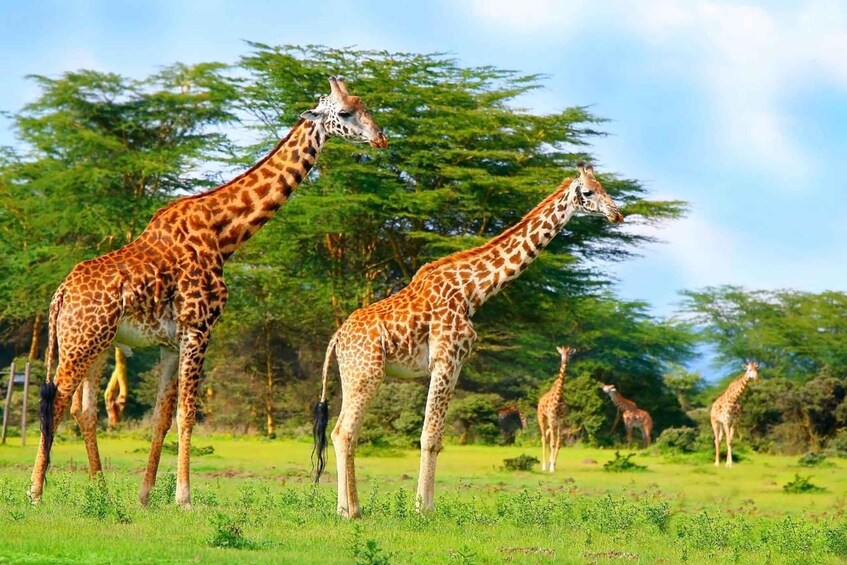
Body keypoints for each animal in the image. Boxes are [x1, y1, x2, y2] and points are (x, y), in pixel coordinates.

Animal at [29, 77, 387, 507]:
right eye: (346, 112)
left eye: (365, 105)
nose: (381, 138)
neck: (224, 233)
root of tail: (59, 295)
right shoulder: (199, 328)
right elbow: (187, 413)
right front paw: (183, 497)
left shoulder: (170, 342)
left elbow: (162, 417)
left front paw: (146, 495)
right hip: (82, 341)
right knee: (55, 400)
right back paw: (36, 490)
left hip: (94, 343)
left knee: (82, 409)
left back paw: (101, 493)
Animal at [312, 164, 623, 518]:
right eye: (587, 191)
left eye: (604, 186)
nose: (616, 213)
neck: (473, 292)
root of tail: (337, 337)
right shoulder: (446, 360)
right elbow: (430, 437)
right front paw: (424, 509)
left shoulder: (457, 364)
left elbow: (436, 437)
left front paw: (424, 505)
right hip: (367, 373)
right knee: (344, 432)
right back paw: (352, 511)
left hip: (352, 374)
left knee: (343, 432)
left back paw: (347, 508)